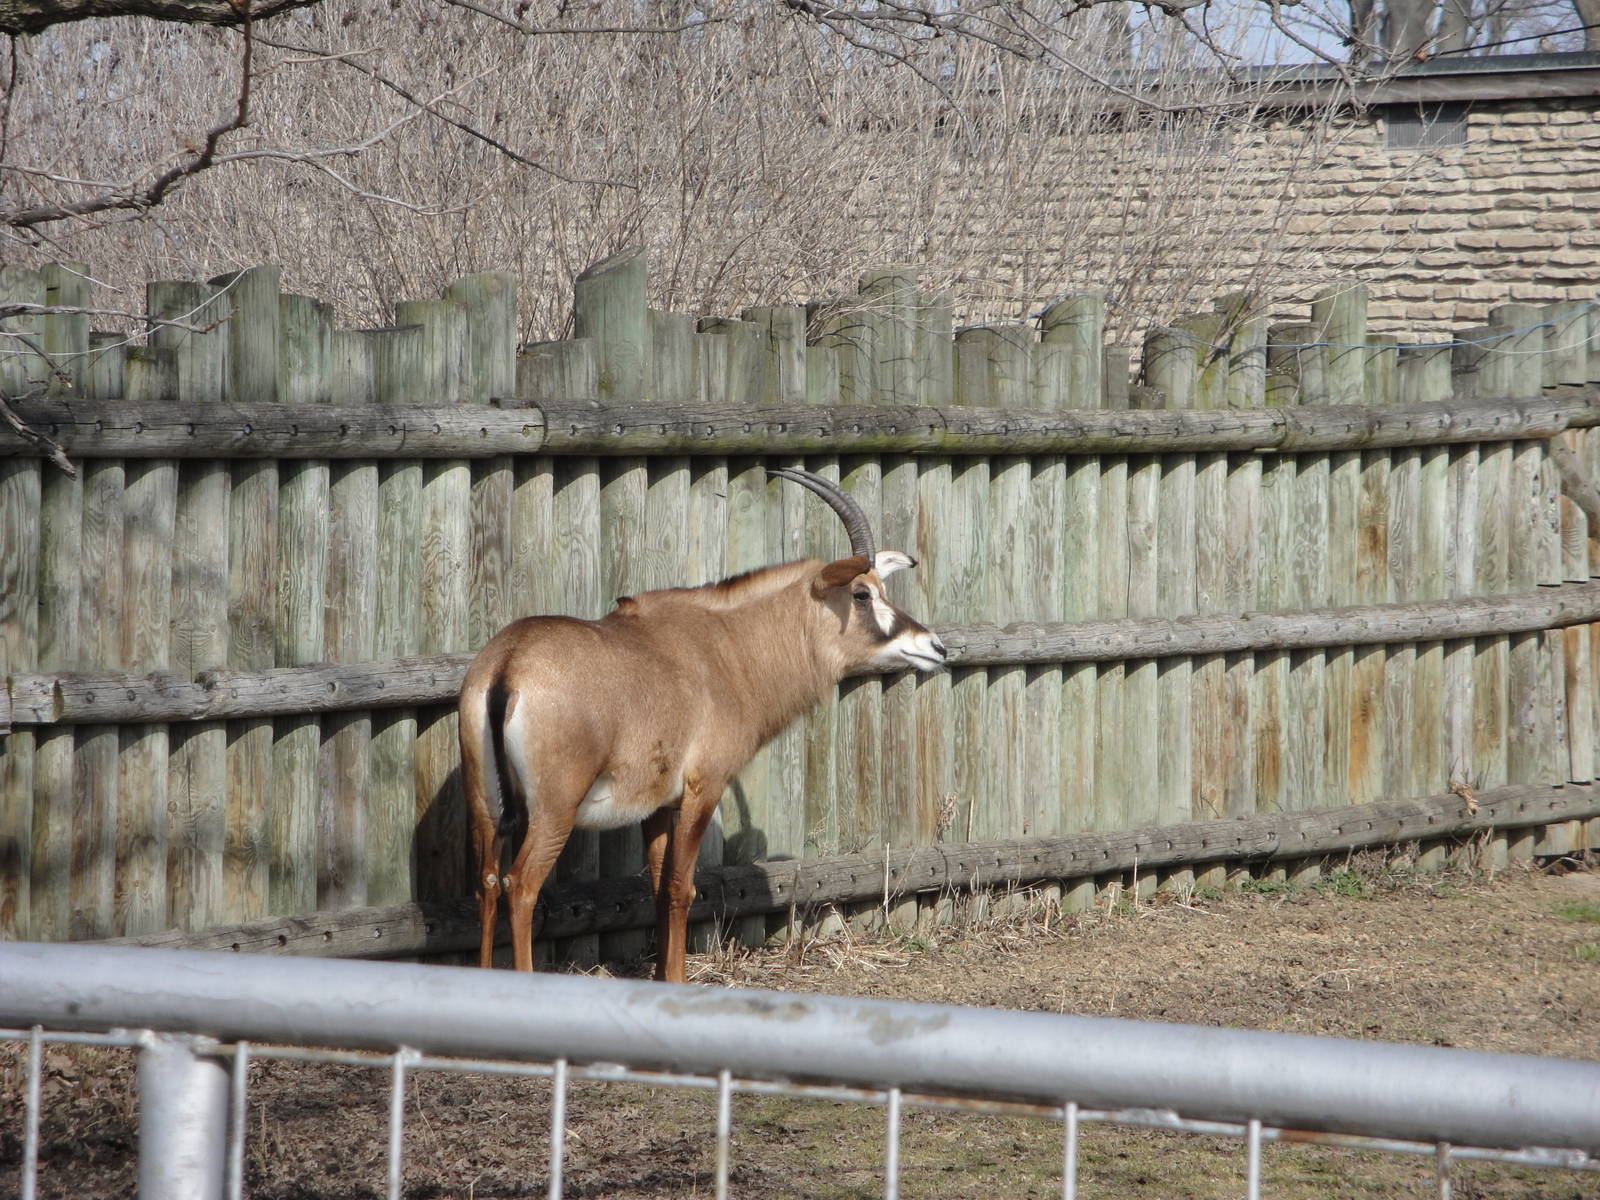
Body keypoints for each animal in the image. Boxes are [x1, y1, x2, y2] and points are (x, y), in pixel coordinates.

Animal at [458, 468, 947, 983]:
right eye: (861, 593)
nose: (934, 647)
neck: (724, 648)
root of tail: (508, 666)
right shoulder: (703, 788)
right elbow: (680, 888)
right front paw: (676, 979)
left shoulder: (655, 807)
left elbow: (656, 886)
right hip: (555, 809)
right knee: (520, 885)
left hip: (486, 804)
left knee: (488, 884)